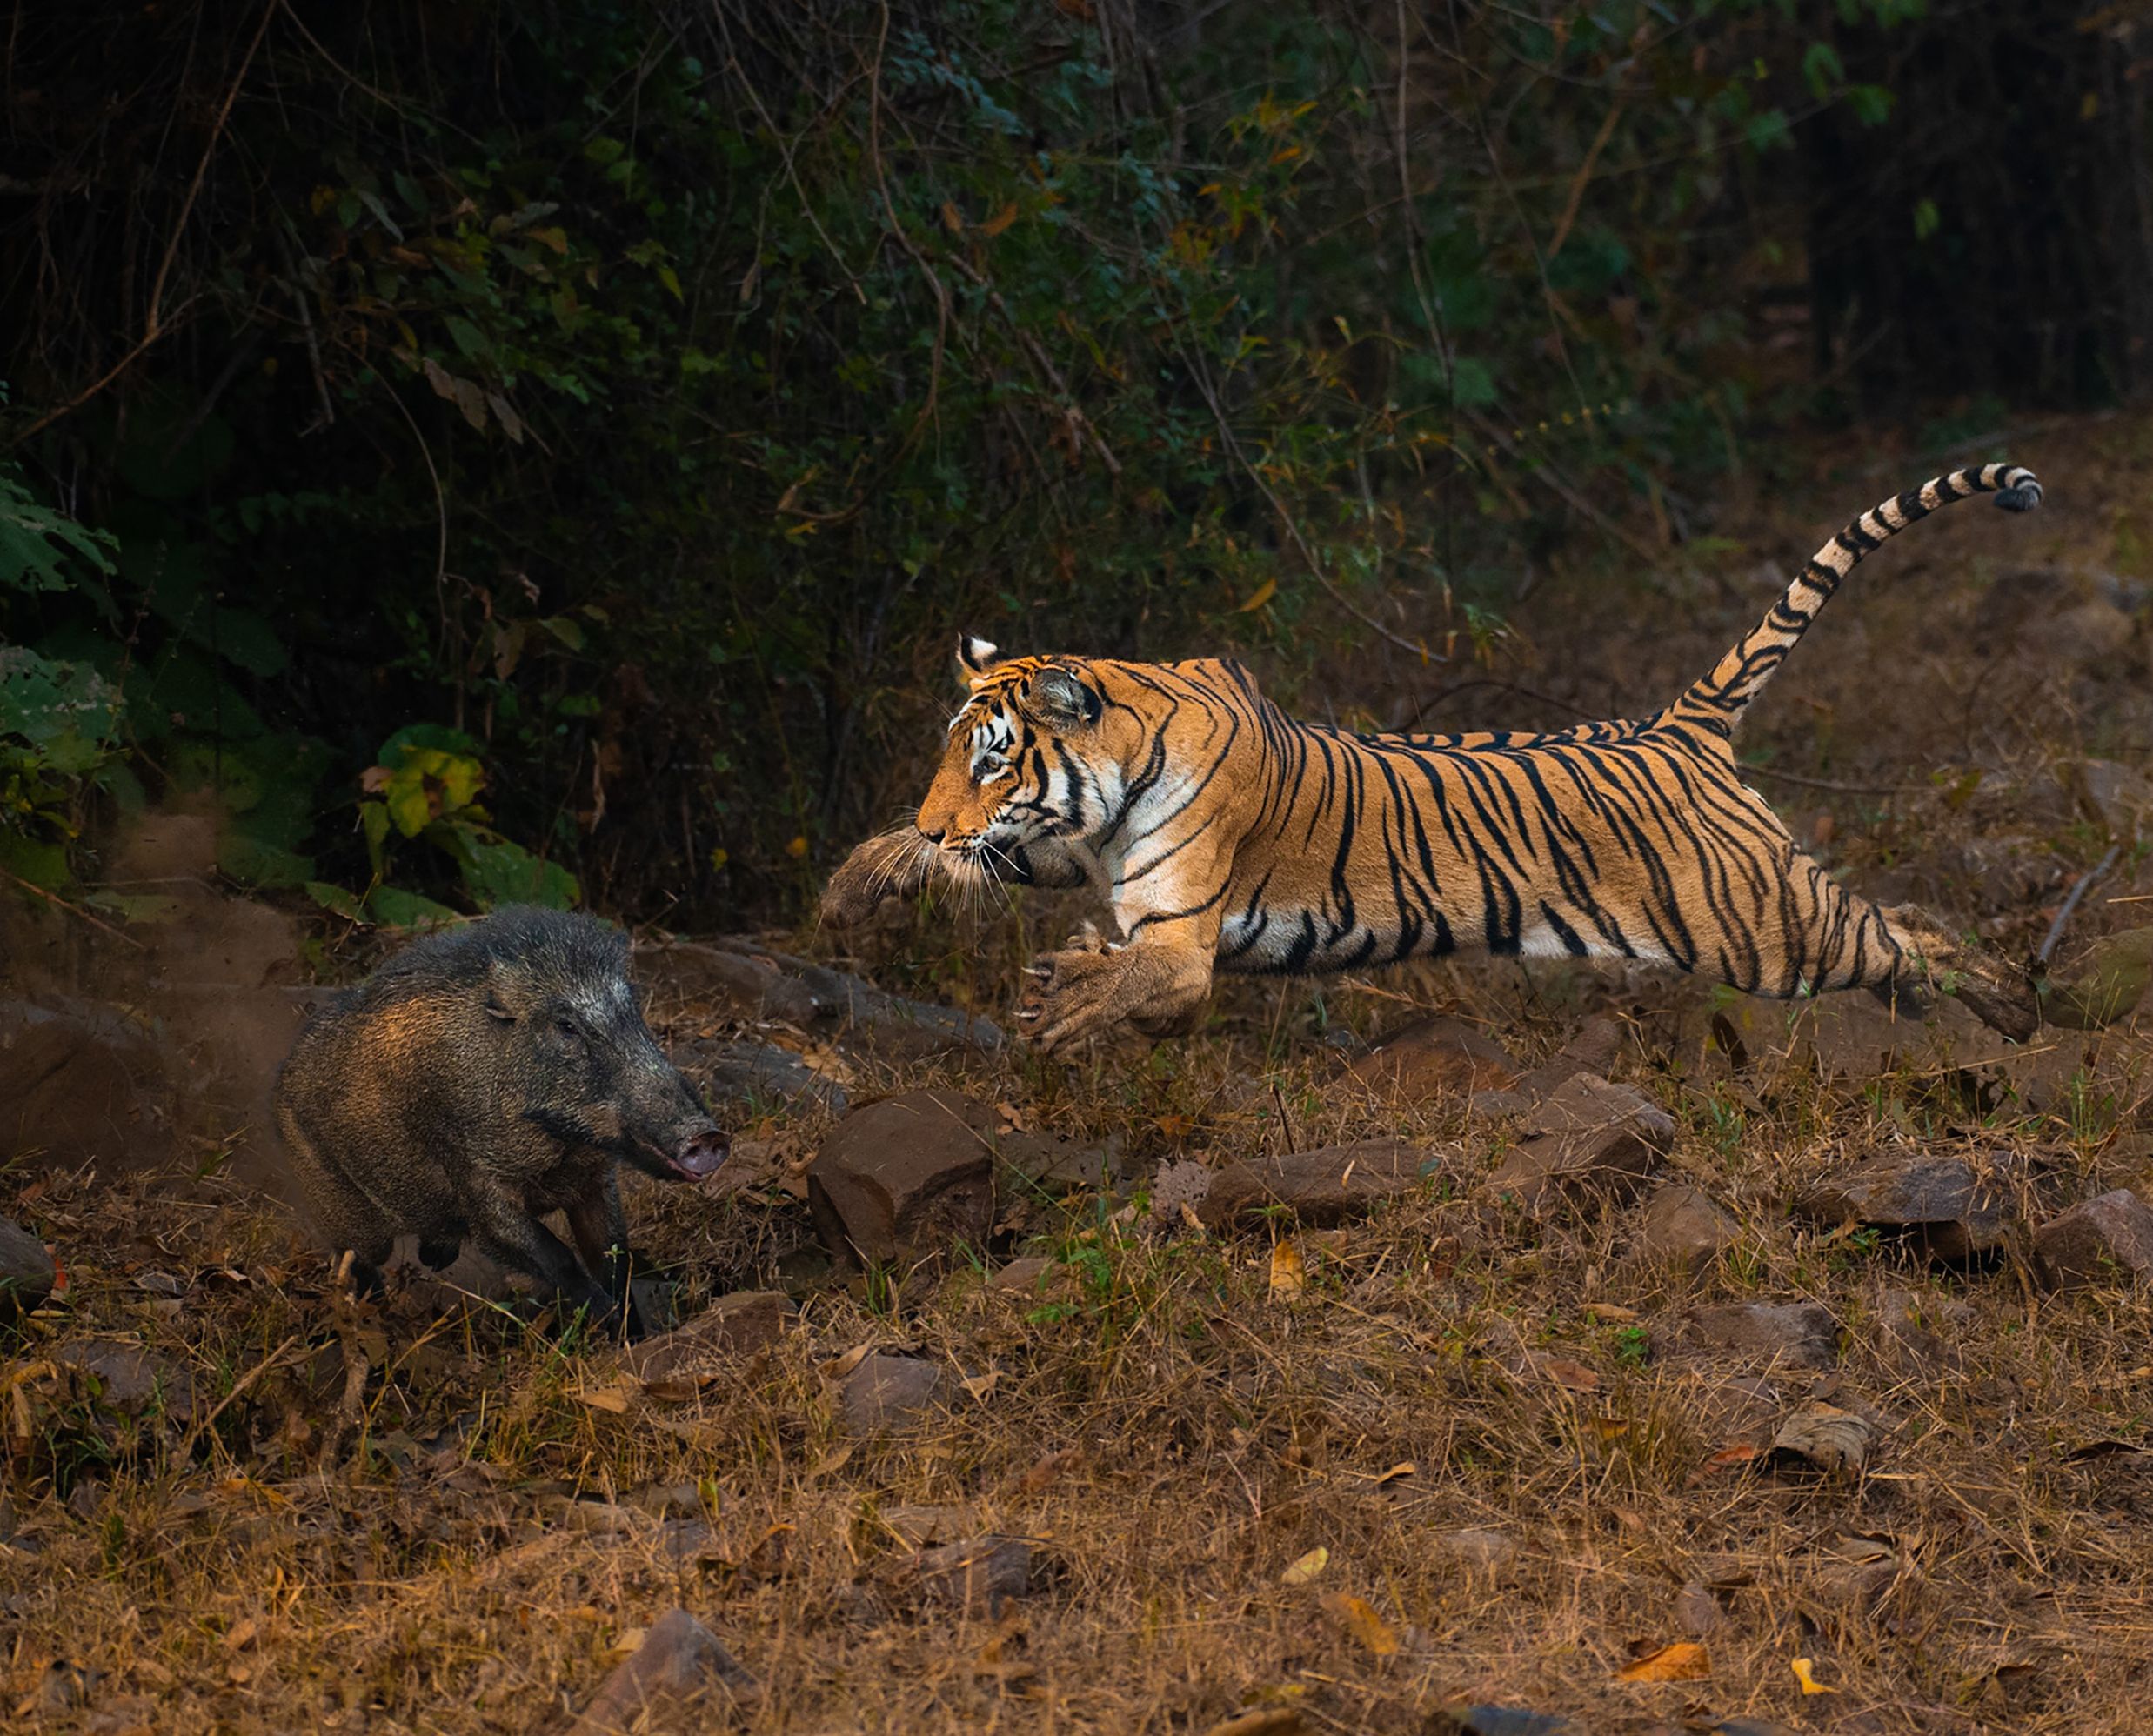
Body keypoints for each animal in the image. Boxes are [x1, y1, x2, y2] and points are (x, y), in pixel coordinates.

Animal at [273, 906, 726, 1336]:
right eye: (566, 1026)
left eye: (633, 1013)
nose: (706, 1135)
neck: (560, 1147)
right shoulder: (477, 1184)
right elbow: (555, 1255)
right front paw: (607, 1319)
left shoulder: (596, 1182)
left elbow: (615, 1257)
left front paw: (632, 1338)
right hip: (339, 1208)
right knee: (357, 1259)